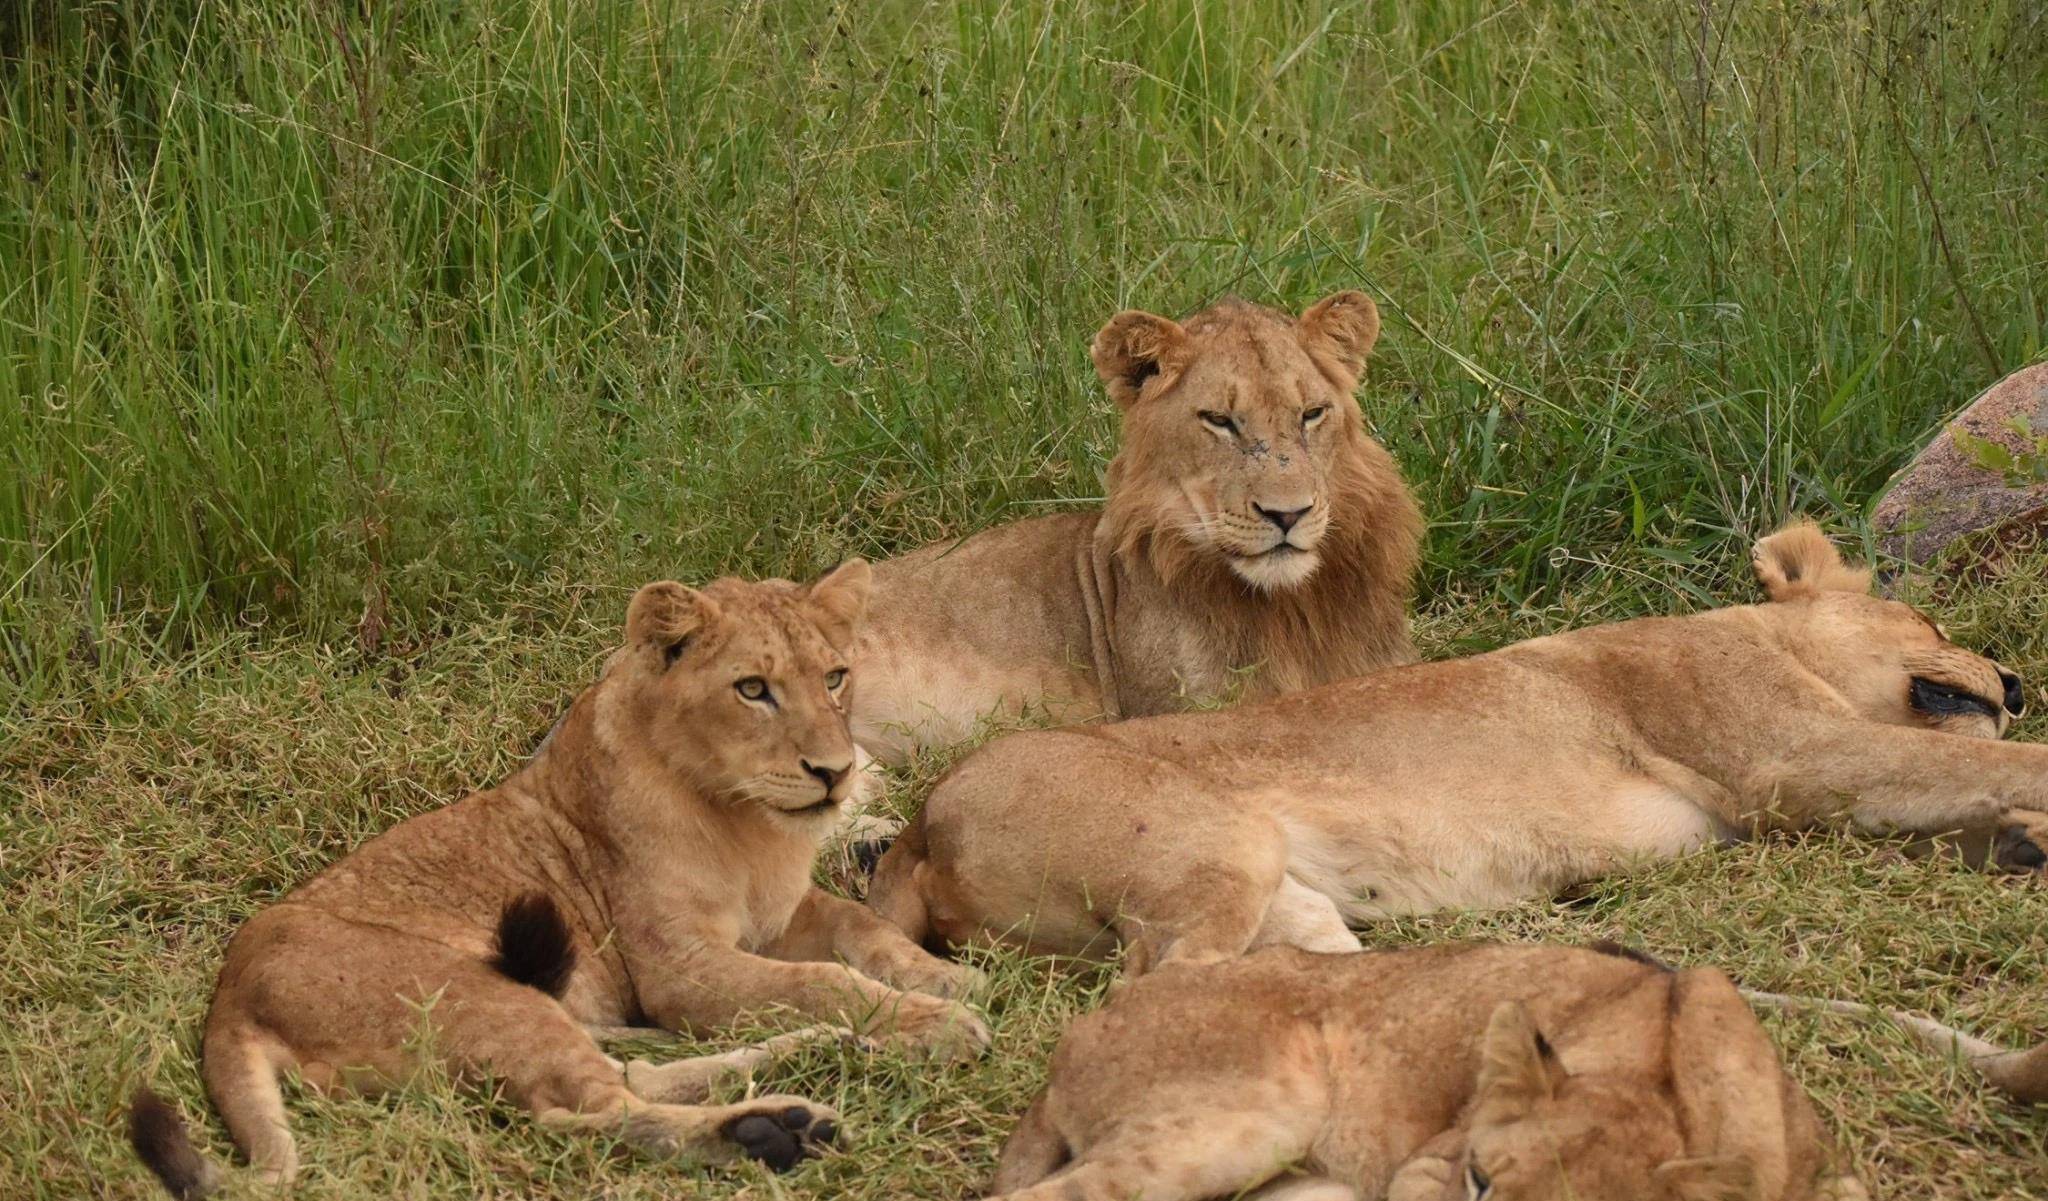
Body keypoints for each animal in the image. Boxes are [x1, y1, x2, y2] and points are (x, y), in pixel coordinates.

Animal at [128, 561, 991, 1196]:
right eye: (753, 688)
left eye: (837, 676)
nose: (835, 773)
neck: (748, 824)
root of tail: (228, 997)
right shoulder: (678, 969)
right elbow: (821, 978)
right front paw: (935, 1023)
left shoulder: (778, 915)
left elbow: (858, 926)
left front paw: (944, 980)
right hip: (473, 993)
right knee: (587, 1113)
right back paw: (777, 1127)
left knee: (630, 1071)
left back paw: (823, 1054)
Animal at [872, 524, 2048, 971]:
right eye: (1932, 620)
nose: (2017, 680)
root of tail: (920, 824)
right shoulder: (1791, 754)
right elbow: (1997, 761)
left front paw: (2023, 843)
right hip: (1208, 848)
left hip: (1281, 899)